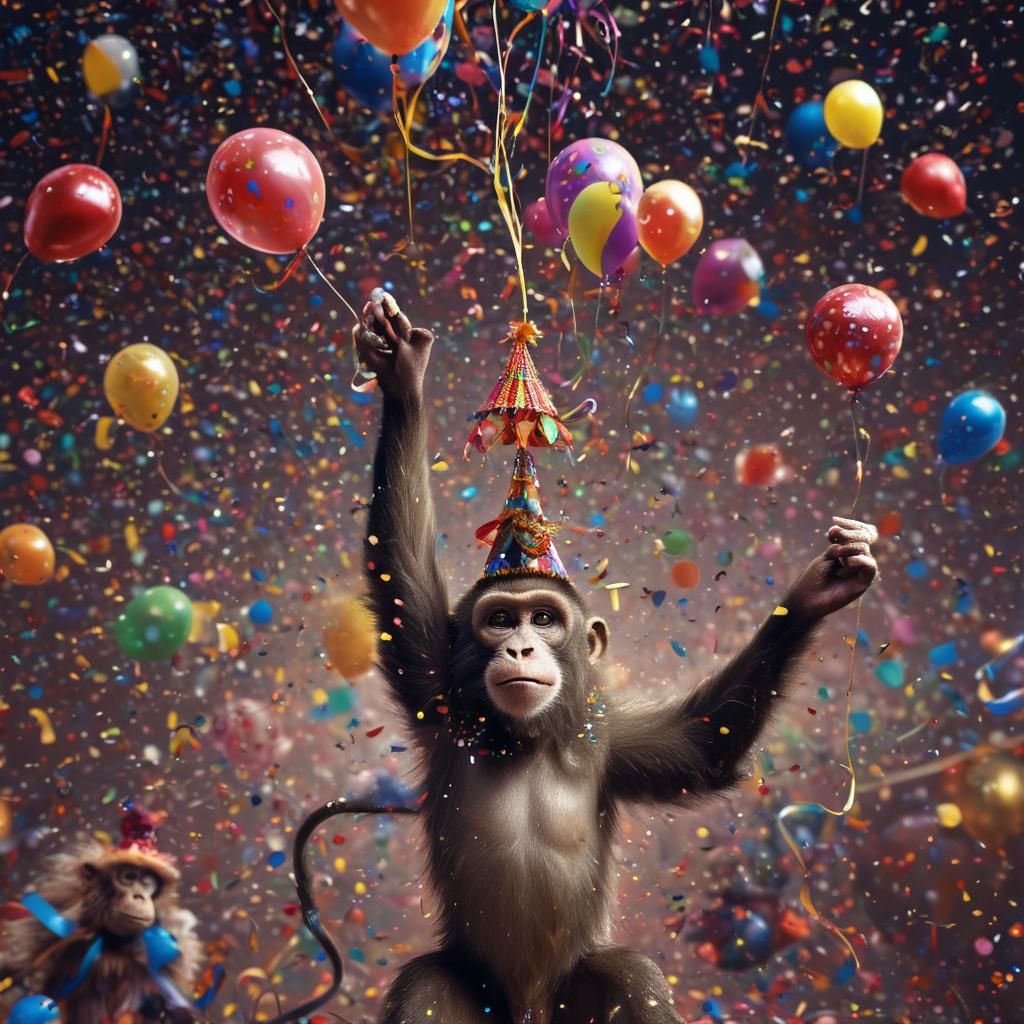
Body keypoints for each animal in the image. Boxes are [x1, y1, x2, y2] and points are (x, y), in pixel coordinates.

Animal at [354, 290, 878, 1024]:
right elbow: (398, 565)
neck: (527, 737)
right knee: (429, 988)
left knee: (628, 975)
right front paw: (402, 379)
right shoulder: (439, 686)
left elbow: (701, 744)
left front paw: (815, 590)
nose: (520, 644)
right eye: (500, 620)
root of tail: (529, 1013)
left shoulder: (609, 736)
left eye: (544, 619)